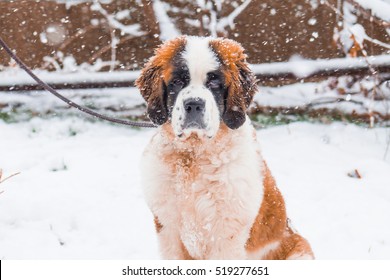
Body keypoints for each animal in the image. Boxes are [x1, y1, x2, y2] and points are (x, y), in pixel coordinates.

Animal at [136, 36, 316, 260]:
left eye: (214, 82)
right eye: (177, 82)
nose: (194, 104)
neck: (193, 156)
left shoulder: (225, 235)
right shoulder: (168, 229)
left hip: (299, 250)